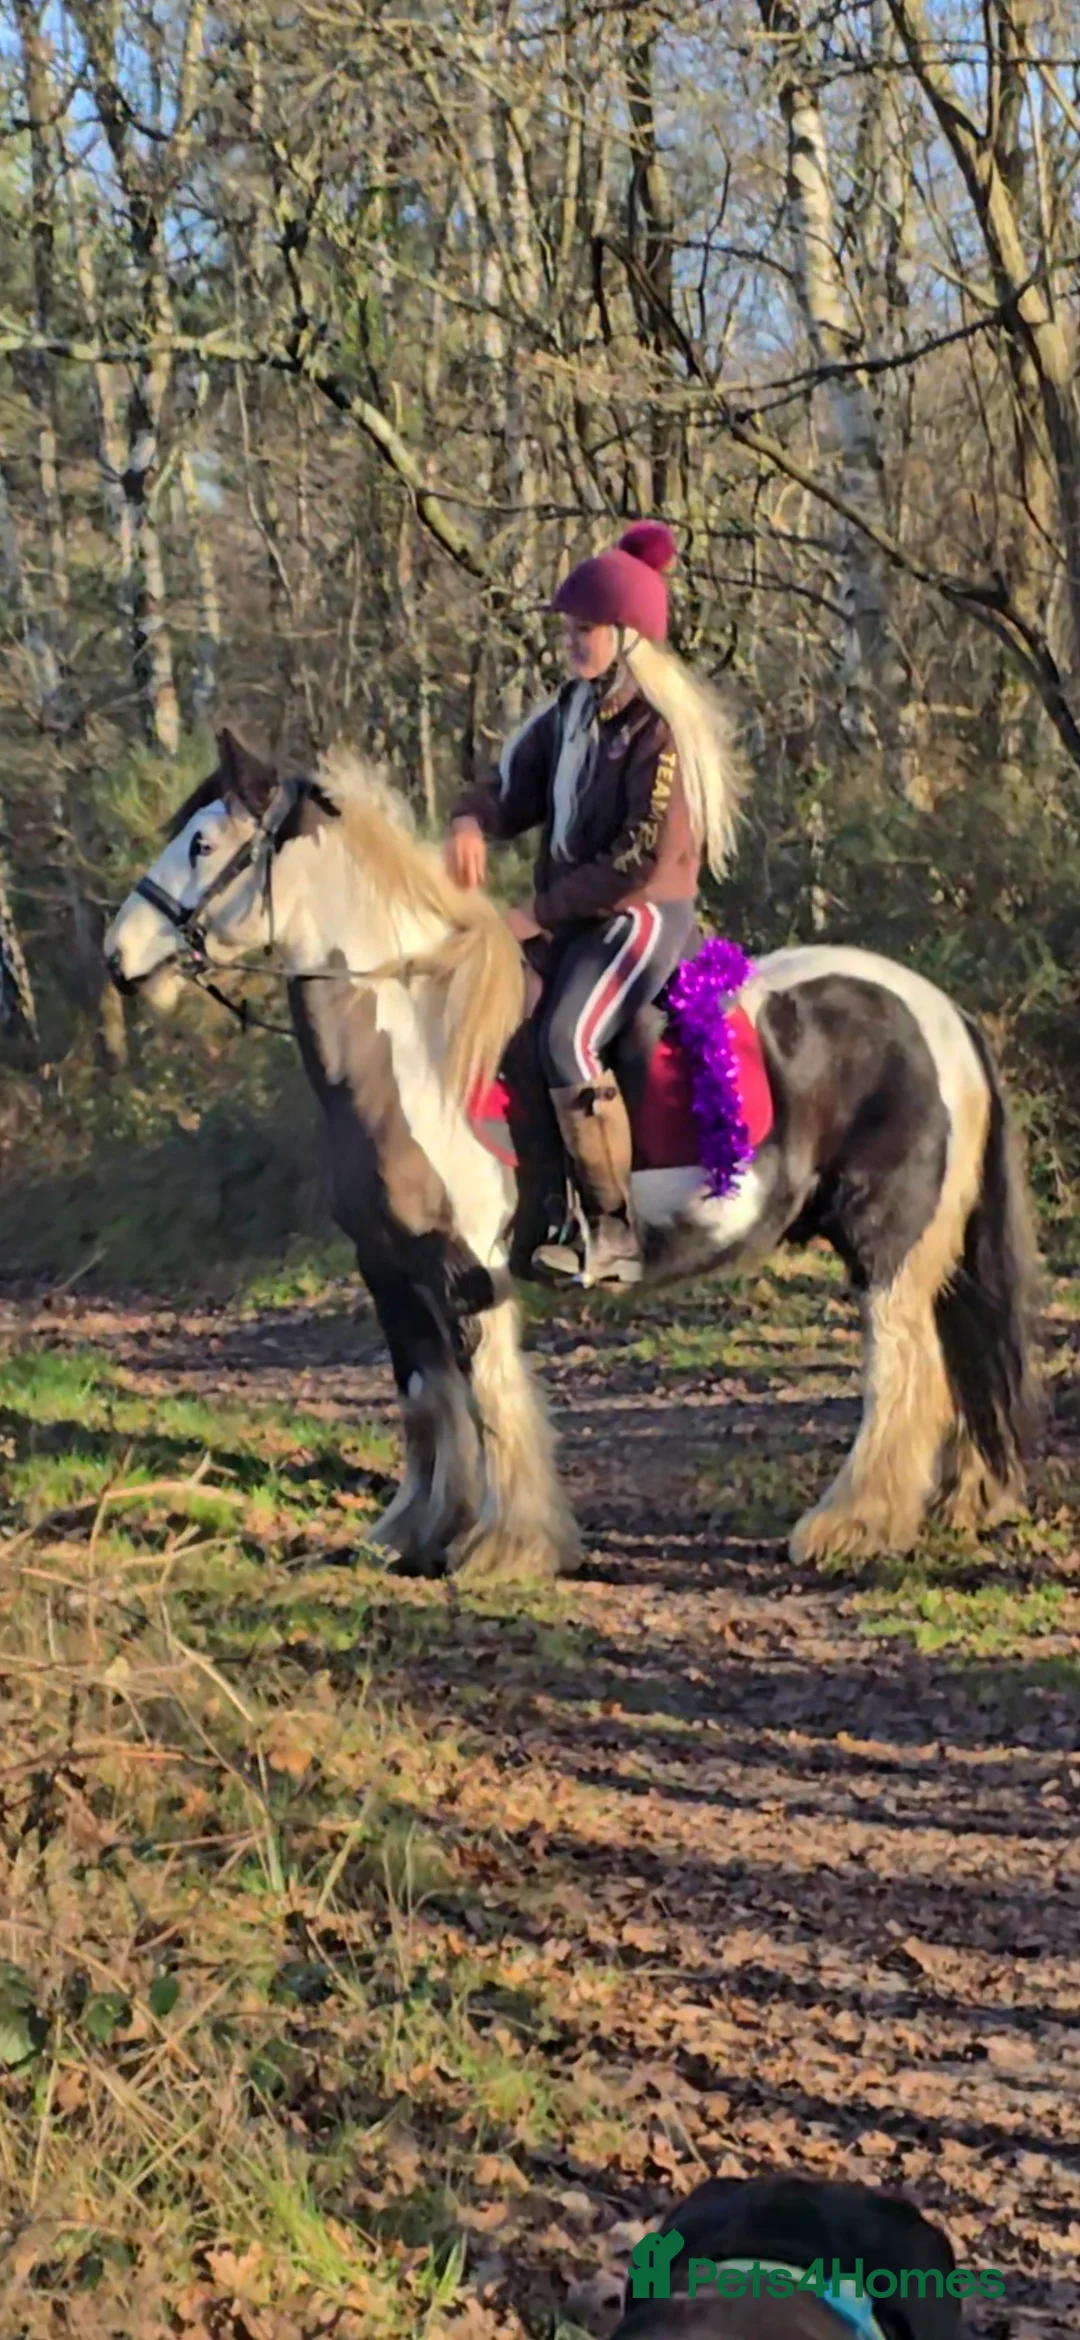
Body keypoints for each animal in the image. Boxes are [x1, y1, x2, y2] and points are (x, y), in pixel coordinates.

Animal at [104, 728, 1041, 1584]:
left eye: (202, 843)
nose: (119, 957)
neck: (418, 1037)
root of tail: (942, 1012)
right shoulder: (391, 1269)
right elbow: (426, 1400)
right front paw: (412, 1533)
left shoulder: (466, 1270)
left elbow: (491, 1399)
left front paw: (507, 1546)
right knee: (950, 1359)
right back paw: (957, 1501)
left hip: (888, 1242)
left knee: (902, 1370)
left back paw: (852, 1524)